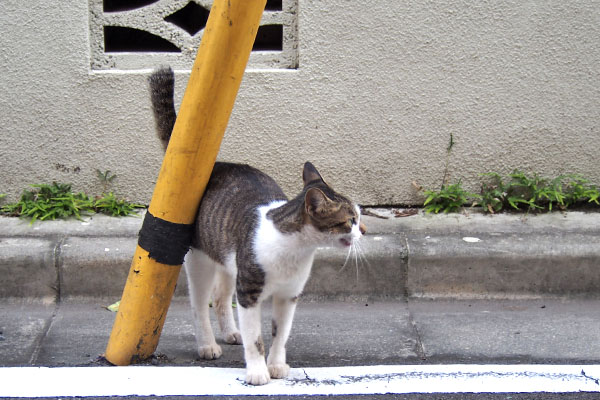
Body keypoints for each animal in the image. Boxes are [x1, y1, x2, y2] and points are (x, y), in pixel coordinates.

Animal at [150, 67, 366, 386]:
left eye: (358, 217)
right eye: (350, 220)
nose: (364, 231)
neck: (294, 251)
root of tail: (215, 165)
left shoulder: (289, 296)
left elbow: (281, 334)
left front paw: (276, 365)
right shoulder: (249, 293)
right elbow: (256, 339)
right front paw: (257, 372)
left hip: (228, 260)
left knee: (221, 297)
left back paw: (230, 332)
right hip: (200, 261)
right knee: (200, 304)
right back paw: (207, 345)